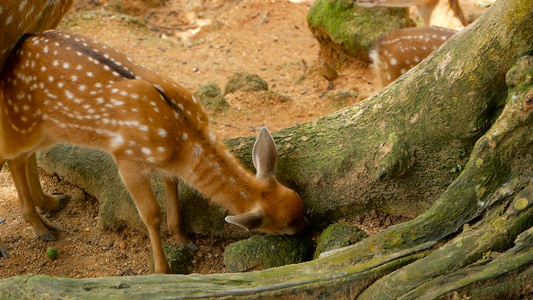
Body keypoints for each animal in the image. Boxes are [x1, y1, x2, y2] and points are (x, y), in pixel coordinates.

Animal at [0, 29, 306, 274]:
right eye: (286, 225)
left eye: (299, 202)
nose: (306, 228)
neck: (181, 135)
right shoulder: (127, 157)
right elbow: (150, 214)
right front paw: (162, 268)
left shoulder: (166, 161)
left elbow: (172, 185)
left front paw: (184, 239)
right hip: (22, 121)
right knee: (12, 156)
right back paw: (40, 228)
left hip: (50, 131)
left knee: (24, 157)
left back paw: (50, 204)